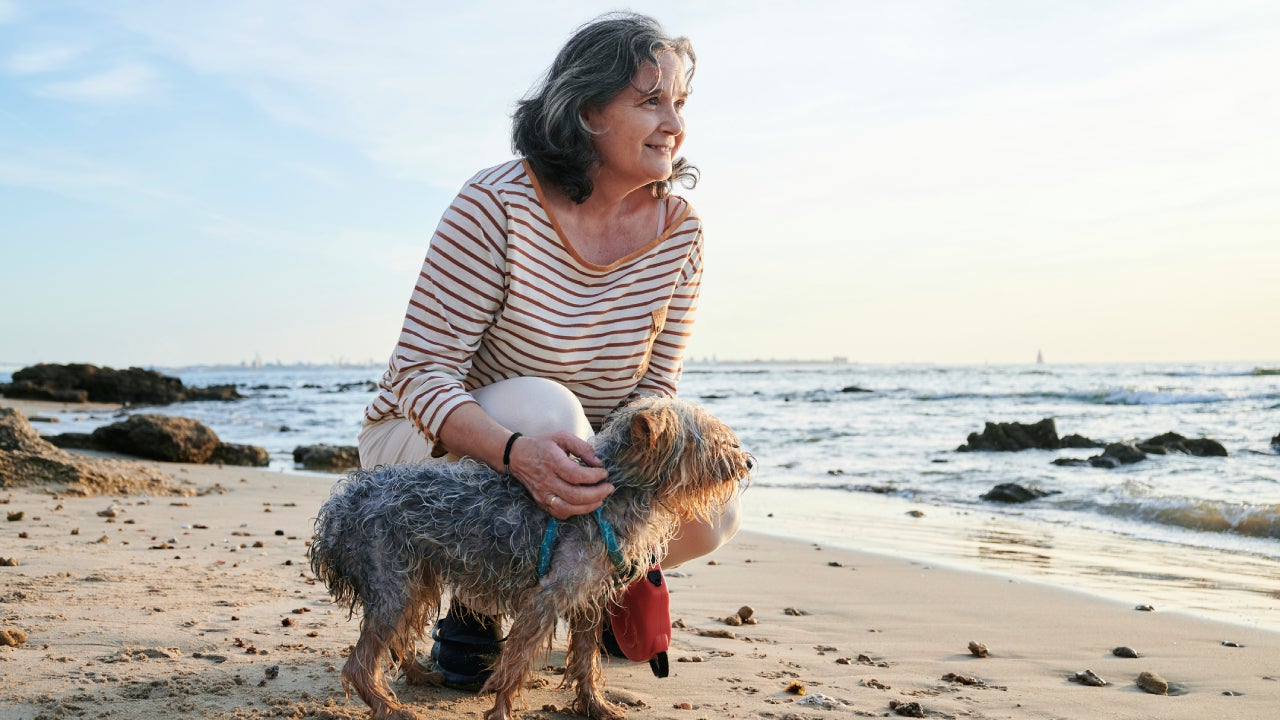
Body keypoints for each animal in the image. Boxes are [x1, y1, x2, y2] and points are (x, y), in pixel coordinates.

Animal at [309, 397, 747, 717]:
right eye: (710, 440)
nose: (748, 461)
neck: (612, 495)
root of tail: (340, 506)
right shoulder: (546, 598)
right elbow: (516, 663)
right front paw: (502, 711)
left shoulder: (587, 597)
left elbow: (585, 660)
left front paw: (596, 706)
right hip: (393, 583)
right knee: (359, 663)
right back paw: (389, 708)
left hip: (416, 580)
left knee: (397, 642)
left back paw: (419, 677)